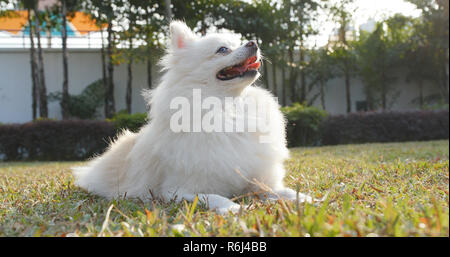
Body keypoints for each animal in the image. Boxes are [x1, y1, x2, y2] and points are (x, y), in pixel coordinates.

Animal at [74, 20, 312, 213]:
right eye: (223, 49)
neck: (228, 108)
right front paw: (233, 208)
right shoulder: (176, 191)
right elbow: (214, 197)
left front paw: (304, 198)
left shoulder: (257, 183)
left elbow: (279, 190)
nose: (253, 42)